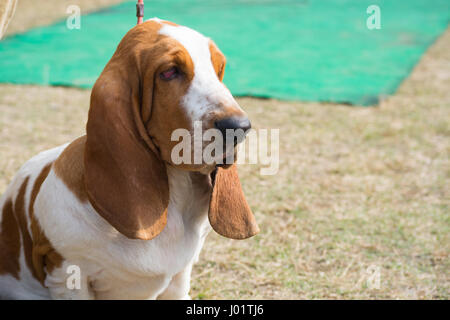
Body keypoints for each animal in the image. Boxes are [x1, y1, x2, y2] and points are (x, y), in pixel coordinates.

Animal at [0, 18, 258, 300]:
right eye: (169, 72)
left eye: (219, 68)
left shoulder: (180, 279)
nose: (240, 127)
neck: (175, 190)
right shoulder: (66, 273)